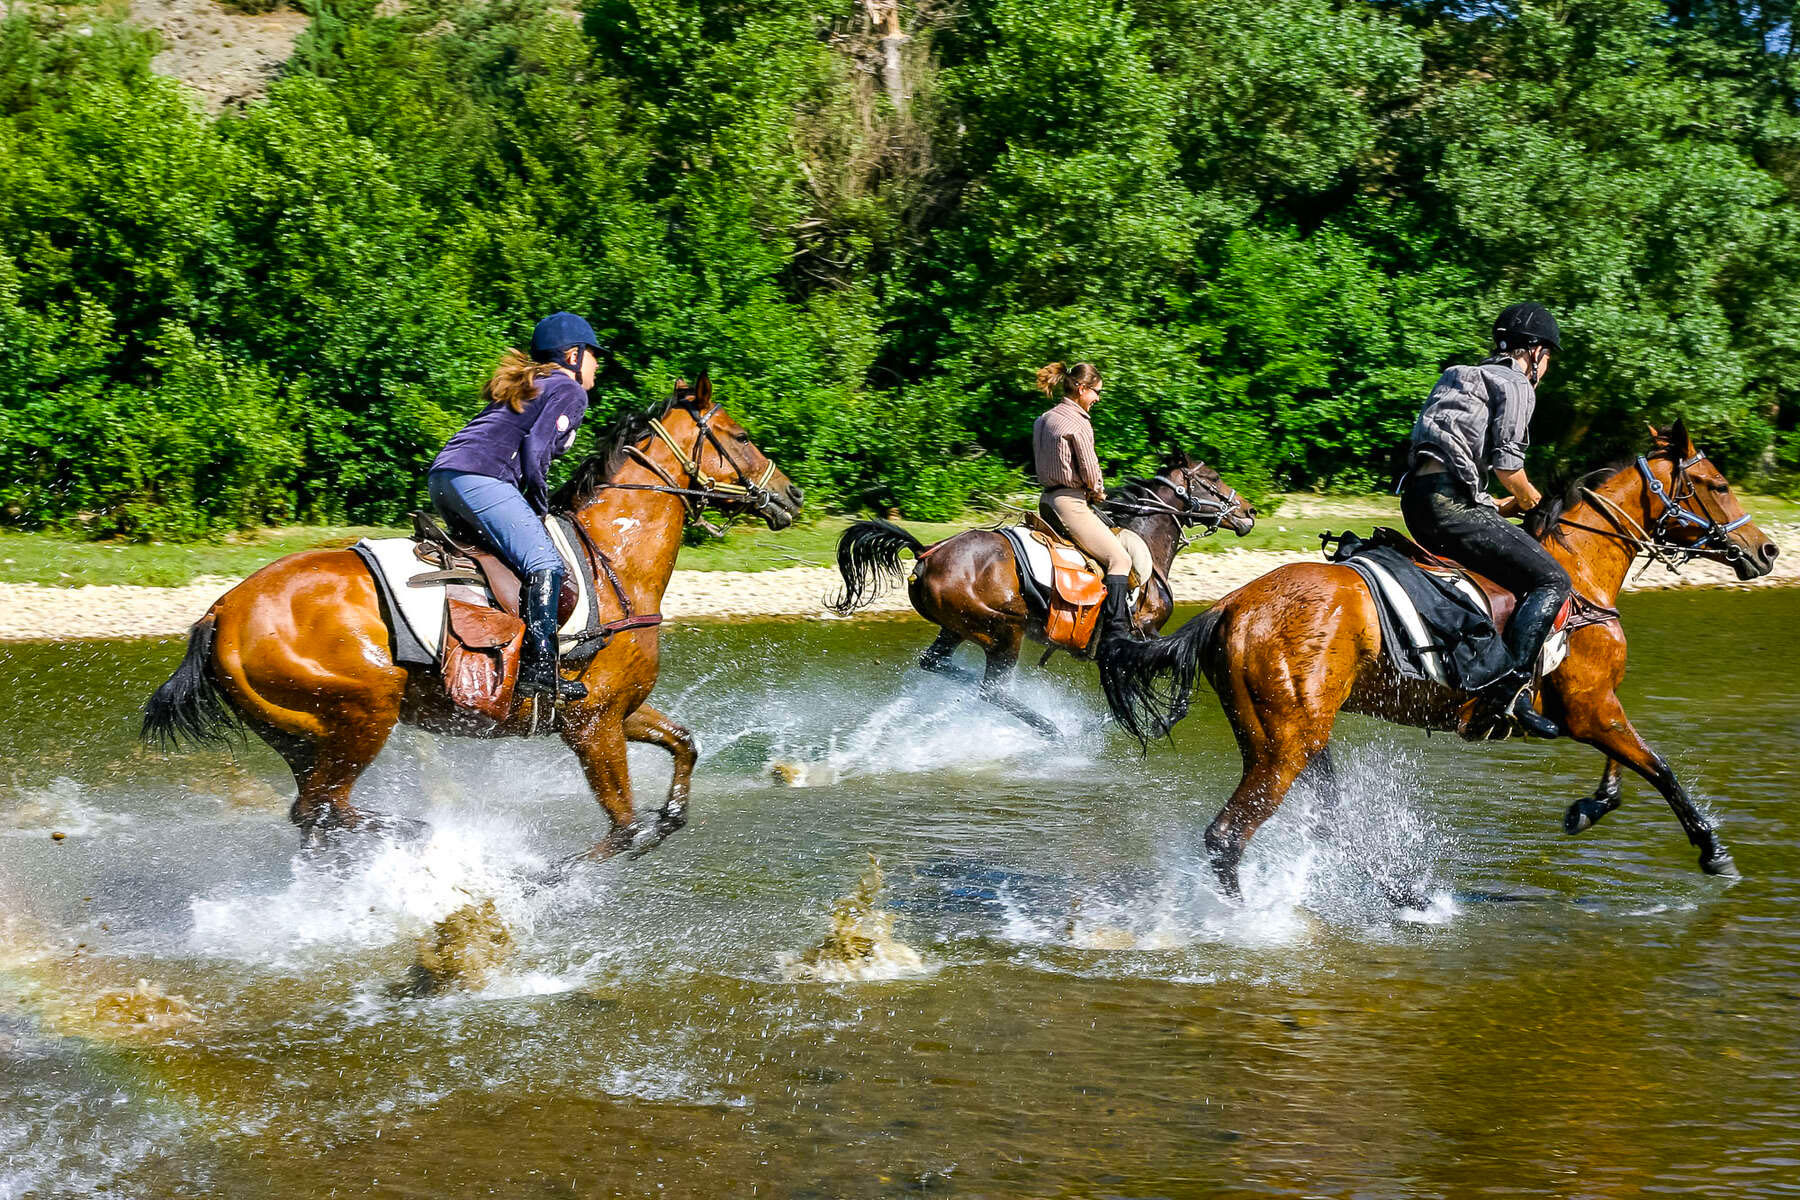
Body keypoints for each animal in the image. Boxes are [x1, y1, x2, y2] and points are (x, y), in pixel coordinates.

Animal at [144, 379, 806, 859]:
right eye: (741, 436)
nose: (792, 496)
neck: (612, 559)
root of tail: (221, 610)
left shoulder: (619, 710)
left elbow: (684, 748)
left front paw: (670, 815)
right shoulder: (592, 727)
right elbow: (623, 830)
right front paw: (550, 880)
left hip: (305, 733)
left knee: (317, 813)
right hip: (364, 712)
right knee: (323, 808)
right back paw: (421, 835)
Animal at [824, 456, 1252, 734]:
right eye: (1214, 478)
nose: (1248, 512)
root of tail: (926, 552)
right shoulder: (1141, 634)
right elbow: (1172, 681)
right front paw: (1149, 721)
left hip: (957, 628)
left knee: (937, 664)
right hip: (1003, 629)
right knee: (992, 689)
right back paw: (1053, 729)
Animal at [1094, 422, 1771, 899]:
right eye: (1715, 484)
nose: (1764, 549)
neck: (1580, 579)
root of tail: (1232, 604)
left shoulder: (1594, 706)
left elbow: (1625, 765)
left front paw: (1589, 808)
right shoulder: (1591, 708)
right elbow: (1659, 767)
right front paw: (1712, 852)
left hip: (1290, 738)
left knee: (1325, 823)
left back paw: (1398, 892)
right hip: (1285, 746)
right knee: (1226, 836)